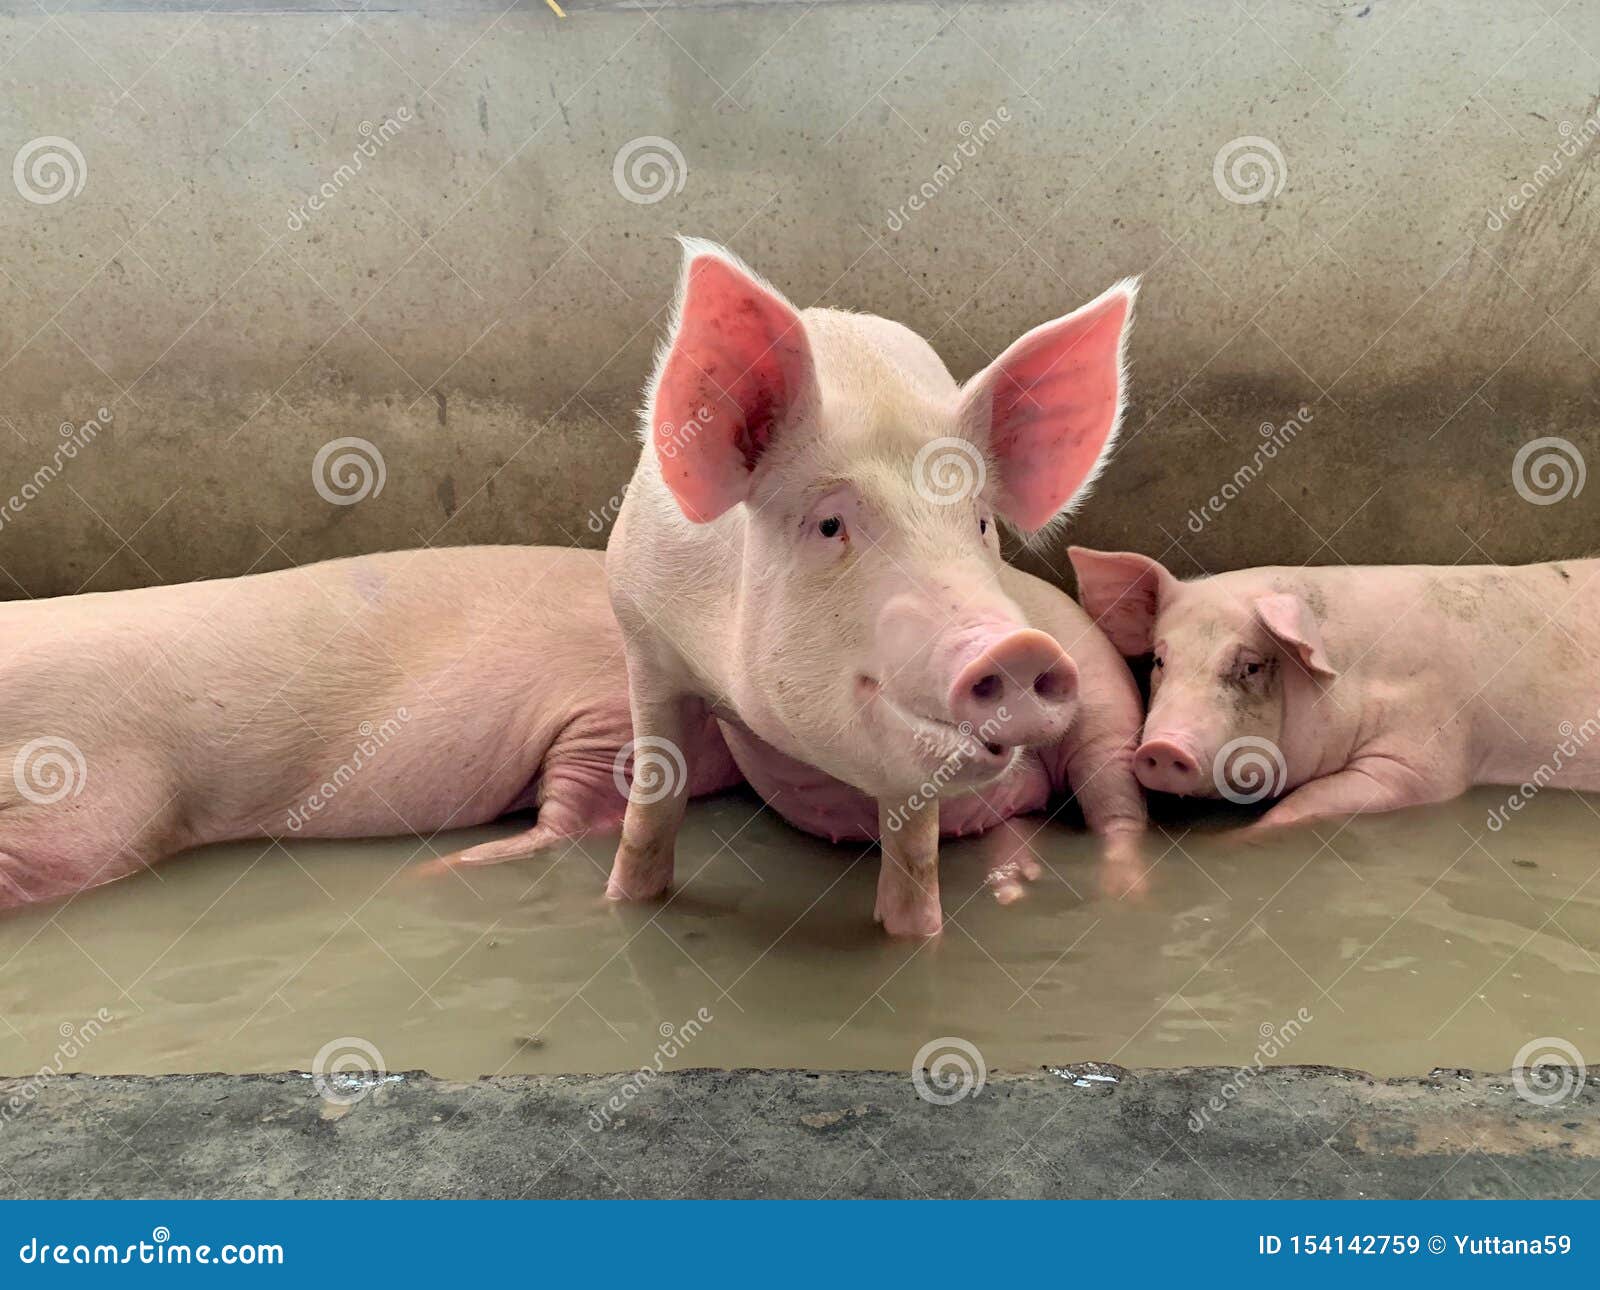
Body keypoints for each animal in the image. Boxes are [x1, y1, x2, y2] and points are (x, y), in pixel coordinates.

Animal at [604, 236, 1145, 934]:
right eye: (830, 524)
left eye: (980, 523)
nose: (1019, 647)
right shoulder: (642, 633)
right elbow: (651, 805)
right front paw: (622, 901)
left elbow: (913, 858)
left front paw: (915, 936)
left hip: (1108, 697)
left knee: (1117, 809)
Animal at [1062, 544, 1600, 825]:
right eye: (1159, 660)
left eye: (1250, 667)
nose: (1162, 748)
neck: (1356, 673)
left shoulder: (1426, 756)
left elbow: (1297, 808)